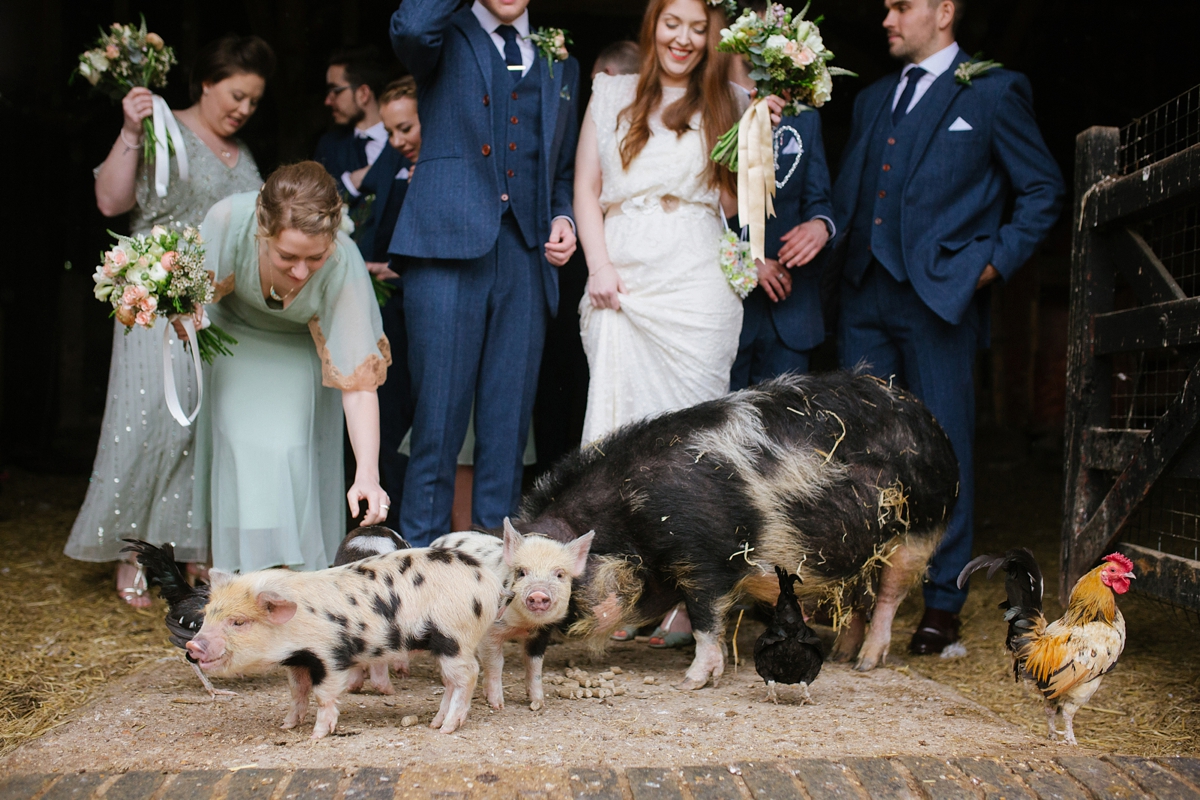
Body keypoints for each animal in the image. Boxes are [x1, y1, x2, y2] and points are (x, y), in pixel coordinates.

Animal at [183, 551, 501, 738]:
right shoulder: (298, 660)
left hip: (454, 637)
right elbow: (297, 692)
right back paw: (435, 723)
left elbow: (324, 695)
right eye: (207, 614)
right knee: (450, 682)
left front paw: (317, 735)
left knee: (468, 675)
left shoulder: (329, 655)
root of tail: (489, 581)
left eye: (239, 622)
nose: (192, 646)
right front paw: (287, 725)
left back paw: (446, 729)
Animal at [516, 369, 955, 690]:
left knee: (889, 595)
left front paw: (692, 682)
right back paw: (843, 656)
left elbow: (705, 619)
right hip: (855, 544)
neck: (628, 514)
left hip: (917, 527)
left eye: (558, 574)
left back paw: (867, 663)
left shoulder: (708, 558)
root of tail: (929, 419)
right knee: (855, 596)